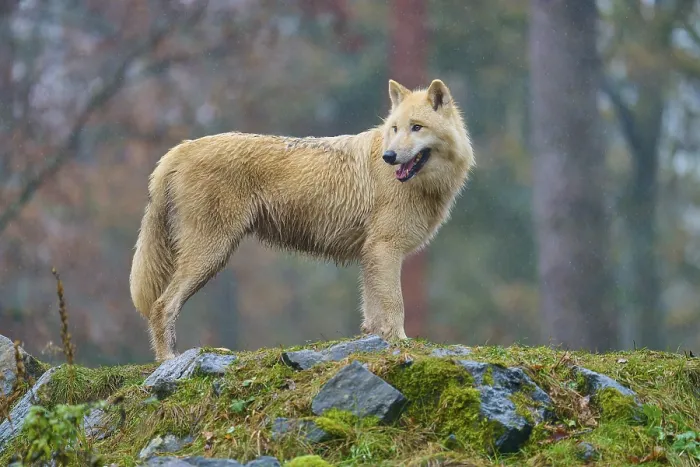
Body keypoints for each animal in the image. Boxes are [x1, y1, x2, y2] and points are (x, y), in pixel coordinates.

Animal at [129, 79, 475, 361]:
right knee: (162, 306)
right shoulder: (384, 249)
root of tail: (181, 148)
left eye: (416, 127)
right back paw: (168, 360)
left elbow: (373, 313)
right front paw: (402, 343)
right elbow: (394, 306)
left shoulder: (371, 255)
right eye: (394, 129)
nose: (389, 157)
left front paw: (378, 342)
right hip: (211, 255)